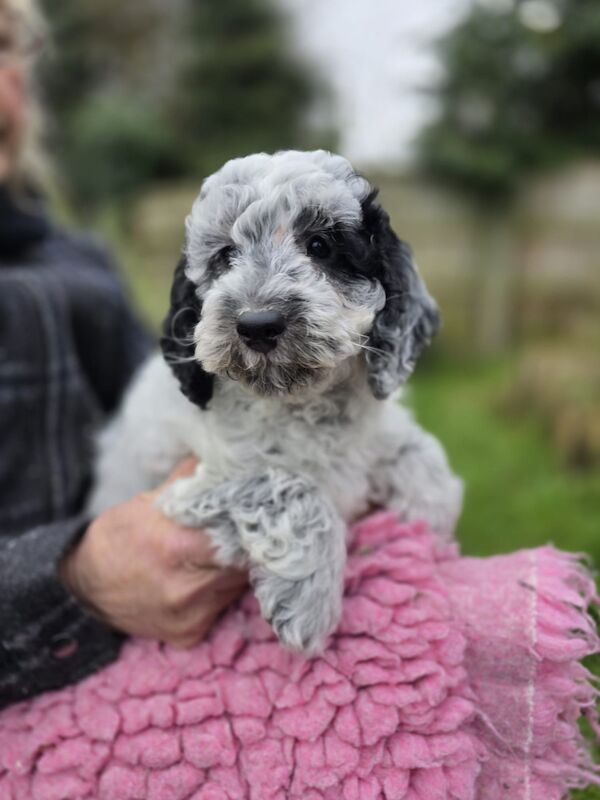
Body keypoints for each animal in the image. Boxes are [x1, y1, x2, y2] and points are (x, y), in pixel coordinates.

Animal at [88, 152, 464, 656]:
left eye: (320, 245)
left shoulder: (376, 433)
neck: (303, 405)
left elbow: (422, 456)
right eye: (225, 256)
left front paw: (432, 524)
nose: (258, 325)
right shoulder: (190, 489)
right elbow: (287, 483)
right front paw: (309, 602)